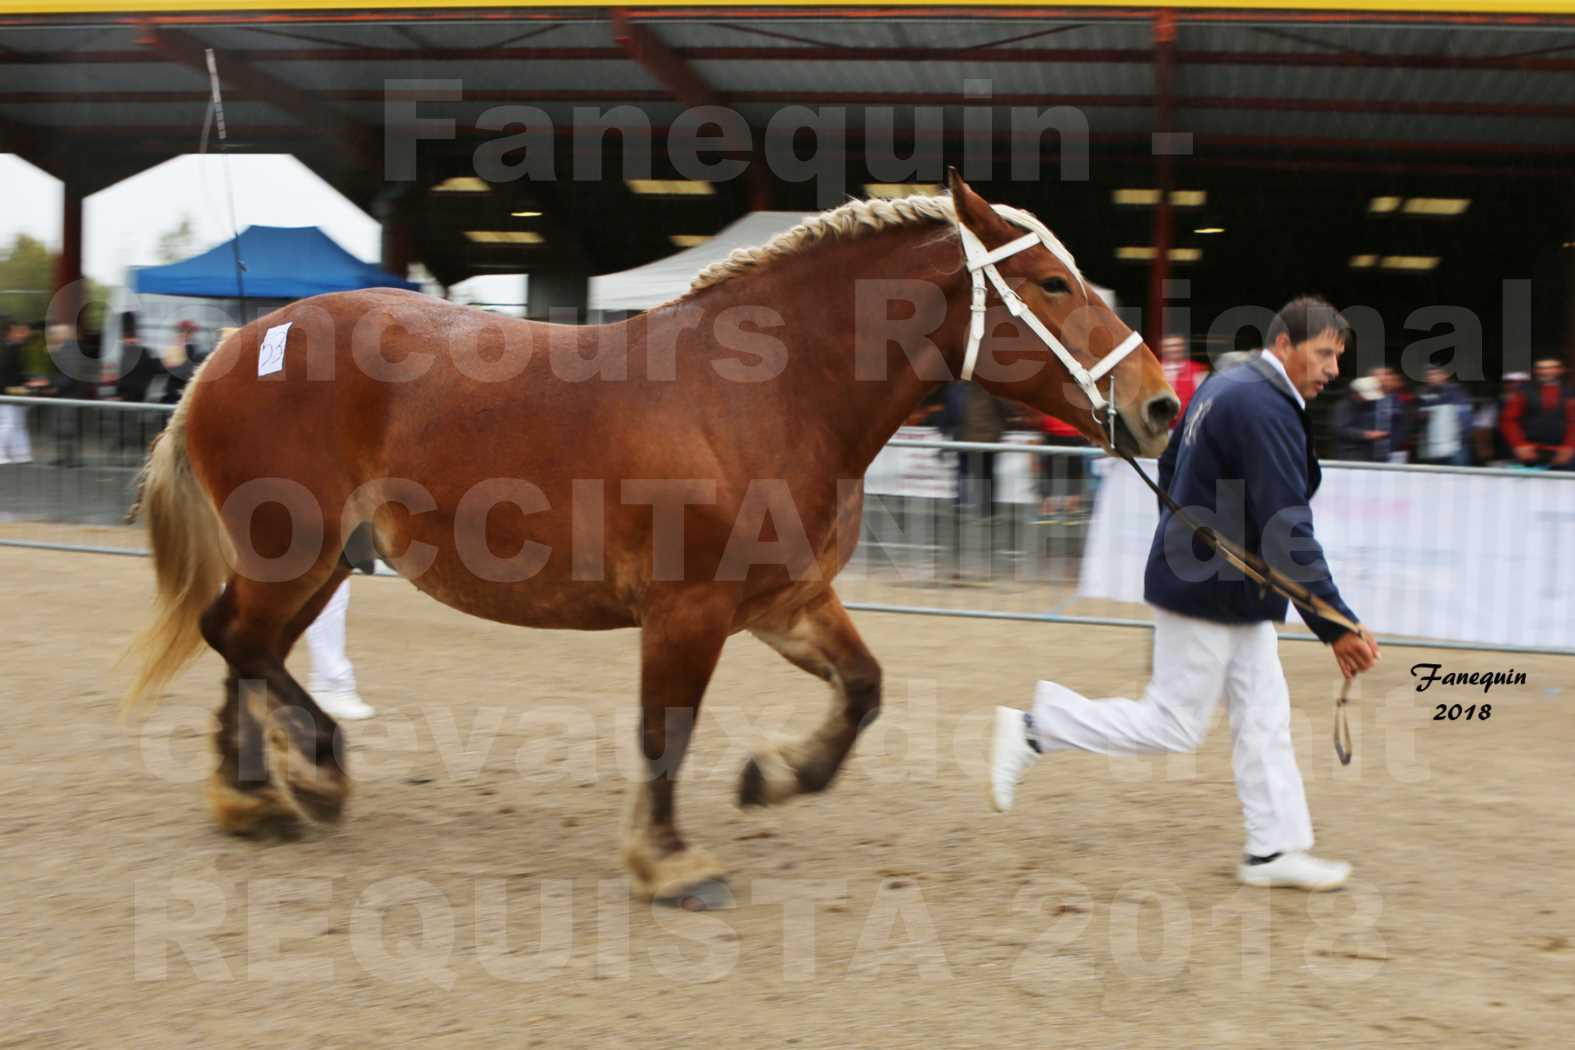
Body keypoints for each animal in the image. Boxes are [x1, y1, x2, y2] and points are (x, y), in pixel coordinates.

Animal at [129, 174, 1178, 913]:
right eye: (1051, 282)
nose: (1160, 406)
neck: (761, 395)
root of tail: (229, 351)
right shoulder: (688, 612)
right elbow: (663, 732)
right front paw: (669, 864)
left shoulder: (784, 603)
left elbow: (863, 691)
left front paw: (772, 777)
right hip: (292, 552)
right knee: (240, 640)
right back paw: (312, 770)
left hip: (315, 562)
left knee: (245, 648)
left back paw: (257, 799)